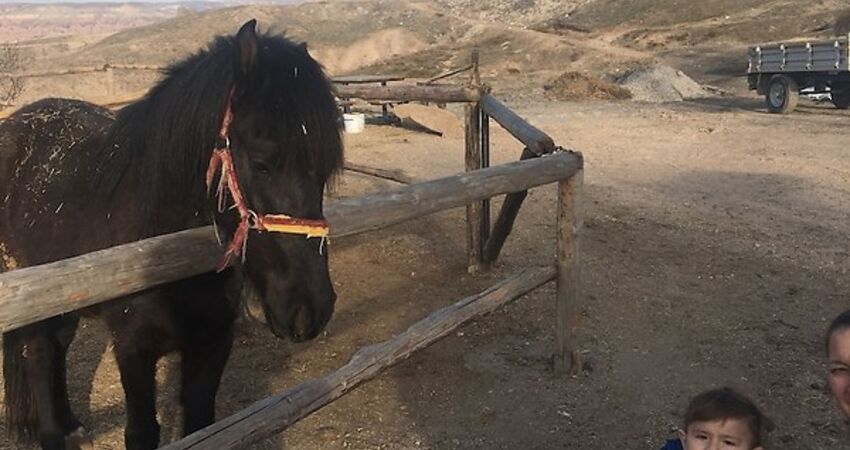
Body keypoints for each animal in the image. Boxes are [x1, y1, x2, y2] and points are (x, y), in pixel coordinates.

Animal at [1, 21, 342, 450]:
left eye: (325, 168)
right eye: (263, 163)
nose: (310, 310)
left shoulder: (213, 342)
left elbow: (201, 423)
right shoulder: (133, 350)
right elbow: (142, 432)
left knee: (58, 346)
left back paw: (70, 424)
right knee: (39, 355)